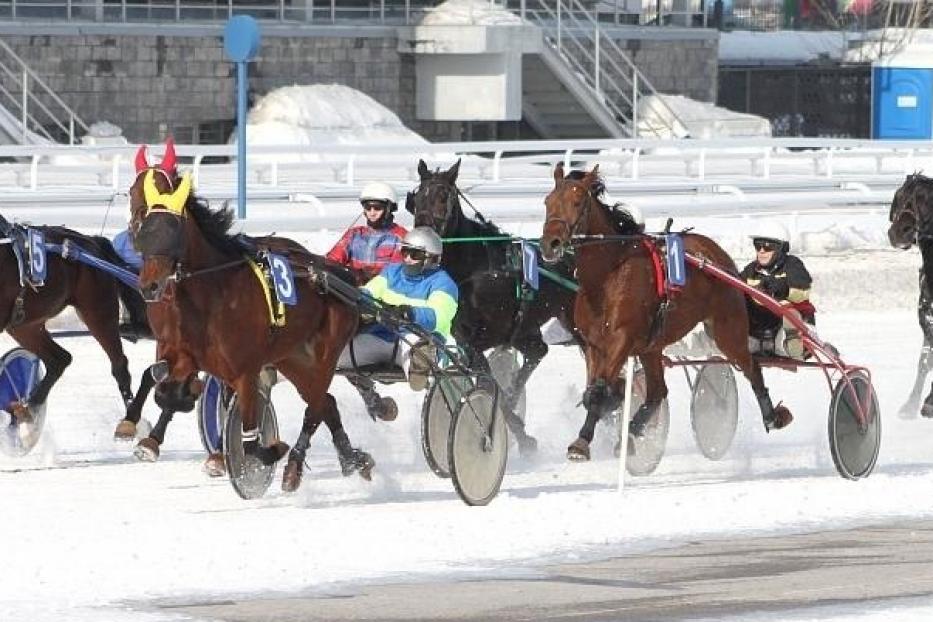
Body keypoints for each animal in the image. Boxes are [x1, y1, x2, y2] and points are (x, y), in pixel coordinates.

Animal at [0, 217, 142, 432]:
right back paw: (28, 409)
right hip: (24, 324)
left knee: (119, 365)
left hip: (98, 314)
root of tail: (91, 241)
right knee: (59, 359)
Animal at [126, 165, 372, 492]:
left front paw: (263, 453)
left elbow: (251, 434)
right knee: (325, 403)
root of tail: (339, 275)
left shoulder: (244, 369)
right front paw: (148, 439)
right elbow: (164, 386)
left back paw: (307, 462)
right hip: (291, 357)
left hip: (325, 353)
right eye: (147, 232)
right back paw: (349, 459)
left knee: (316, 405)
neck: (212, 293)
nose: (149, 286)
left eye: (173, 229)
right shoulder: (184, 352)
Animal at [536, 166, 792, 464]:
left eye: (577, 202)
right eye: (547, 202)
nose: (550, 244)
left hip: (728, 331)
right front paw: (589, 435)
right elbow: (594, 390)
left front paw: (582, 442)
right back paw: (630, 434)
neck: (608, 276)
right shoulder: (593, 345)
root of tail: (718, 257)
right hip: (652, 346)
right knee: (658, 392)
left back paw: (772, 416)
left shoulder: (621, 340)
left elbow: (599, 392)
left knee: (752, 368)